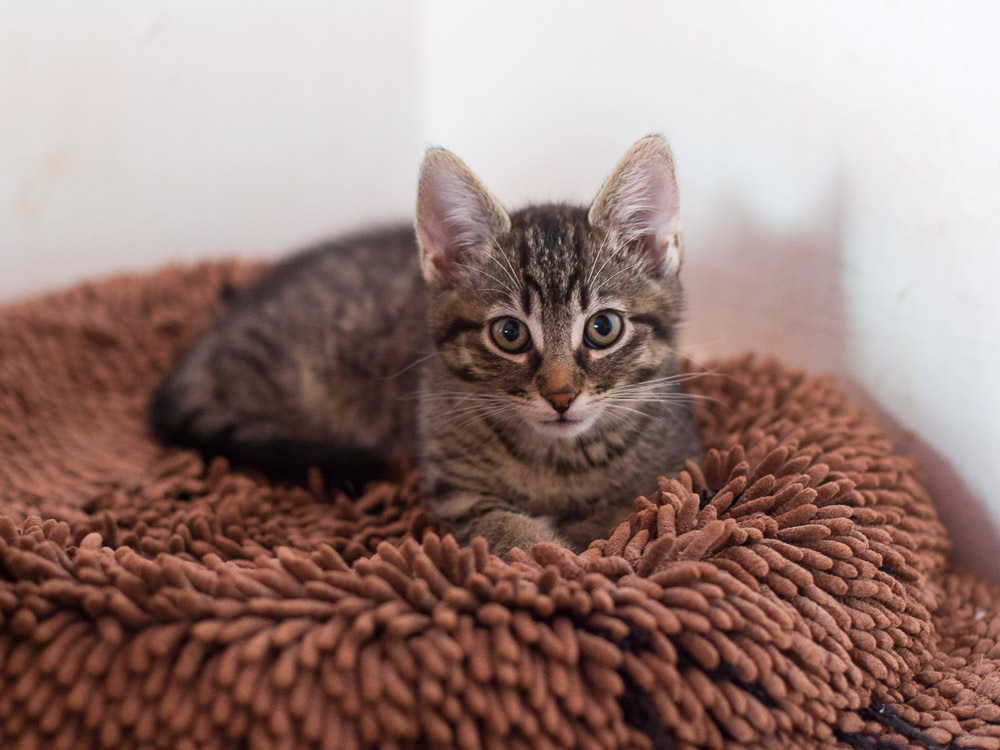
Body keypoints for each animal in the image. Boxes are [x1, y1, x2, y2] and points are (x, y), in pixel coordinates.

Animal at [156, 137, 704, 560]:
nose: (561, 396)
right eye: (509, 334)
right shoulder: (457, 492)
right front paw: (557, 557)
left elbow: (626, 515)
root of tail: (221, 326)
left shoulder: (671, 473)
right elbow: (512, 533)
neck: (556, 460)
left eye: (603, 328)